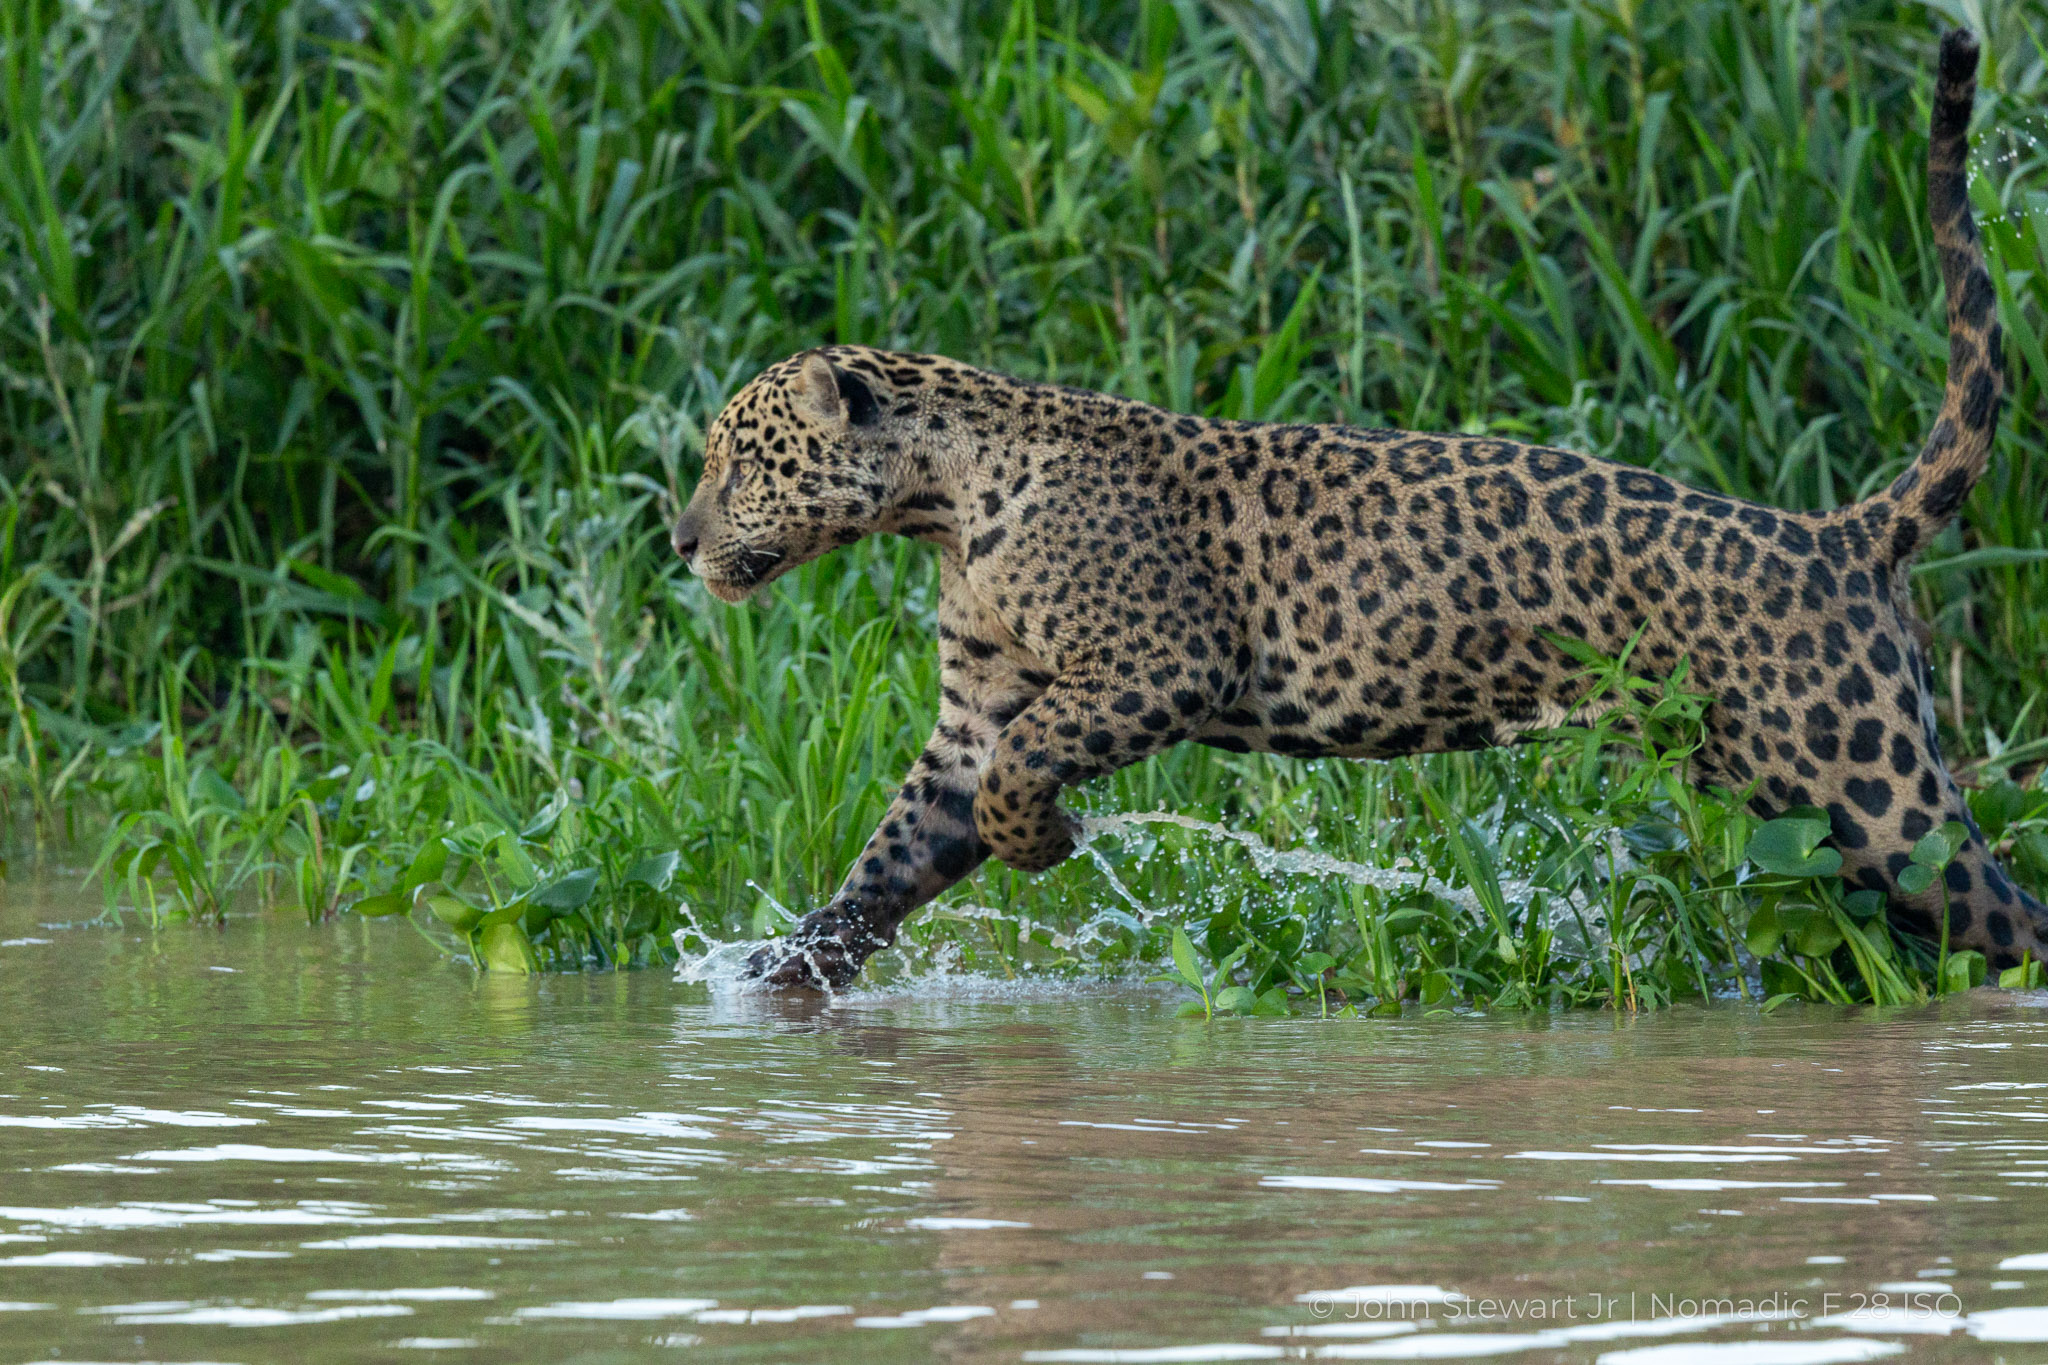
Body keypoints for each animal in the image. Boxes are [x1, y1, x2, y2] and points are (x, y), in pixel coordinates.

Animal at [670, 29, 2045, 991]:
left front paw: (1043, 844)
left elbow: (1030, 760)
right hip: (1824, 814)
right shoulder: (974, 707)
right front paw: (780, 976)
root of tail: (1833, 533)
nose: (679, 540)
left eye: (736, 462)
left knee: (2010, 911)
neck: (944, 509)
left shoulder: (1163, 659)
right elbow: (885, 859)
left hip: (1872, 792)